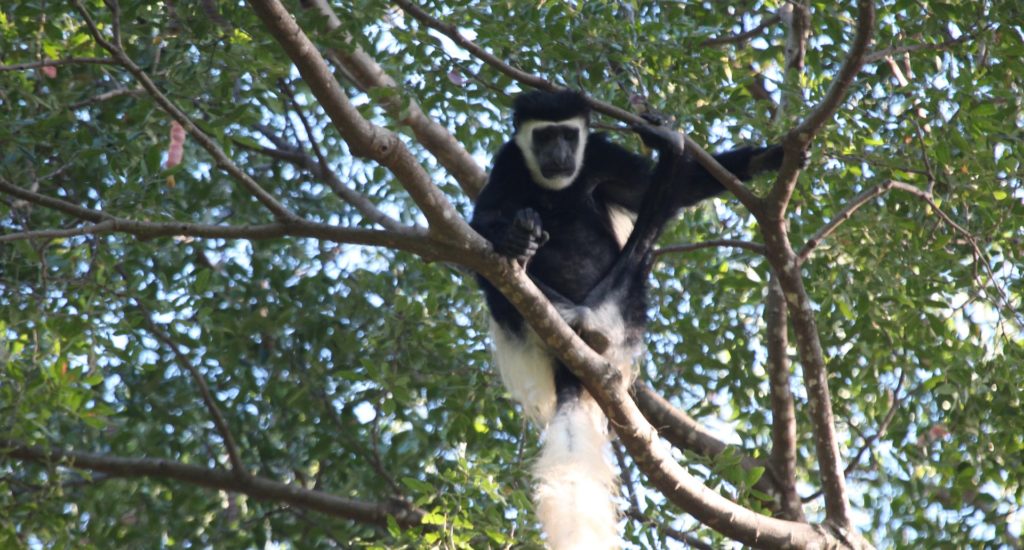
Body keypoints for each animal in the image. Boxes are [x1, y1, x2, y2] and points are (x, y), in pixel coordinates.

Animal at [471, 91, 790, 548]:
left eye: (567, 135)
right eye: (544, 136)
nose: (558, 155)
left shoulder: (601, 156)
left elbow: (676, 189)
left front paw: (769, 155)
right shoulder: (508, 163)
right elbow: (481, 221)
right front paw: (513, 236)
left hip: (625, 306)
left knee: (648, 232)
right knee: (489, 270)